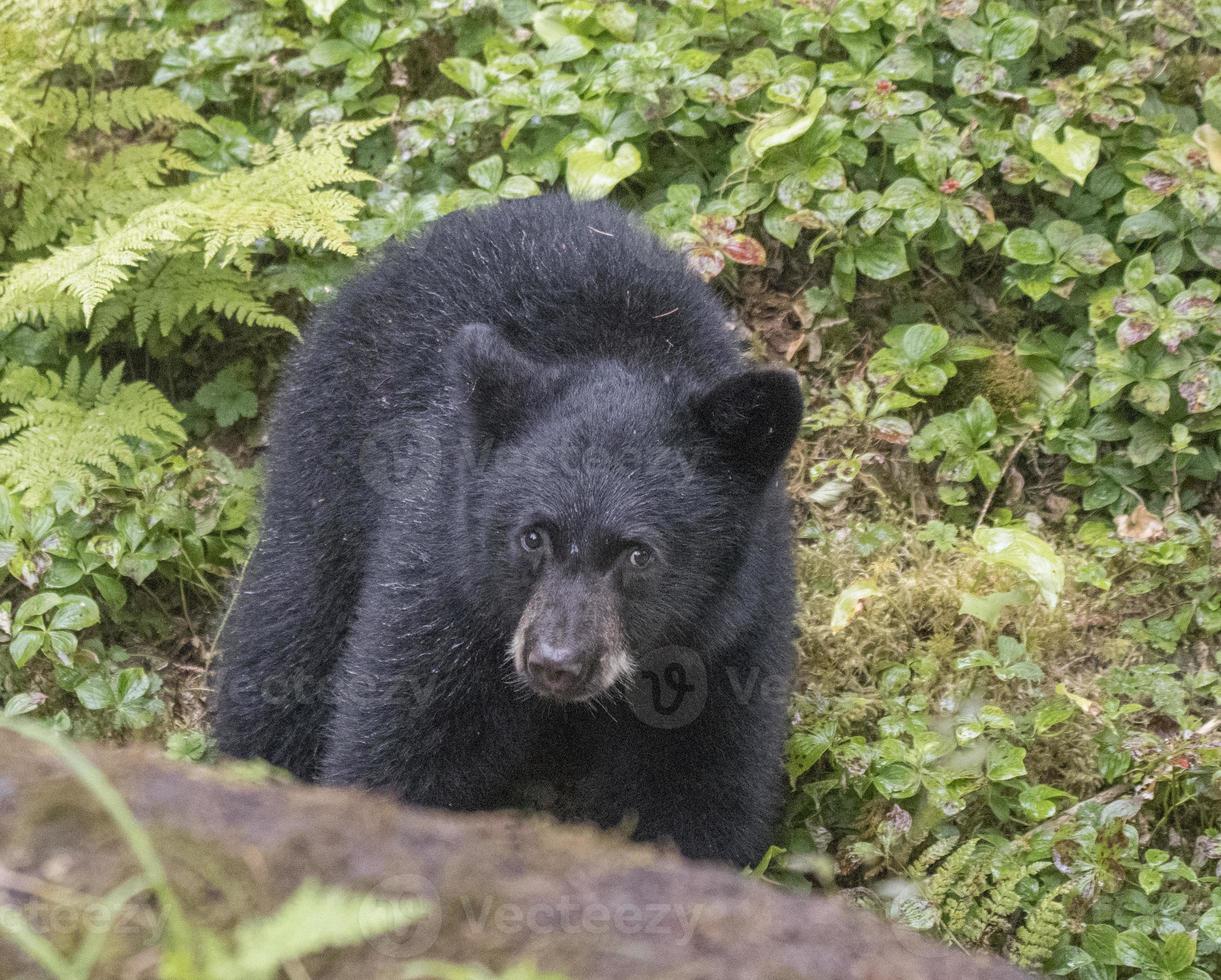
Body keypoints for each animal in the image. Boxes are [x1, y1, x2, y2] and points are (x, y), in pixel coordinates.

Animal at [214, 194, 805, 864]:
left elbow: (697, 788)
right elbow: (398, 745)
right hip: (330, 461)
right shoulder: (443, 578)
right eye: (533, 536)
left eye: (638, 554)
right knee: (289, 630)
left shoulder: (730, 633)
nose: (556, 663)